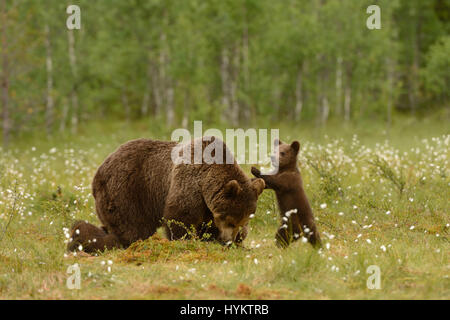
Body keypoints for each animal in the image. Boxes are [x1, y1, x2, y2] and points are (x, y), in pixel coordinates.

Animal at [66, 136, 264, 252]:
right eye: (231, 220)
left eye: (243, 221)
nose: (229, 240)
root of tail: (98, 171)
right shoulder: (188, 184)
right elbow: (180, 217)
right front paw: (185, 240)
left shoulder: (207, 204)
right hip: (127, 191)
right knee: (132, 227)